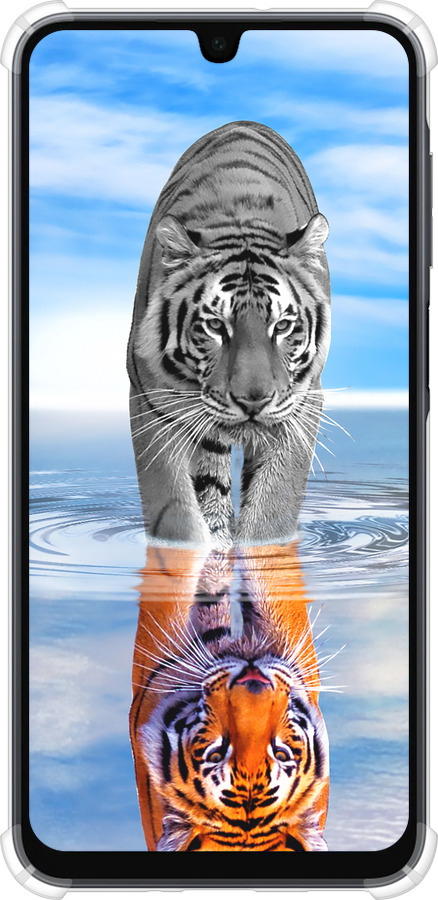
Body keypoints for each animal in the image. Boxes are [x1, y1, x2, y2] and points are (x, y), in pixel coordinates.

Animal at [127, 120, 331, 549]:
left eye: (282, 326)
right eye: (216, 326)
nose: (253, 401)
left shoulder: (302, 404)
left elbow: (273, 509)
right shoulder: (151, 401)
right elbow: (175, 513)